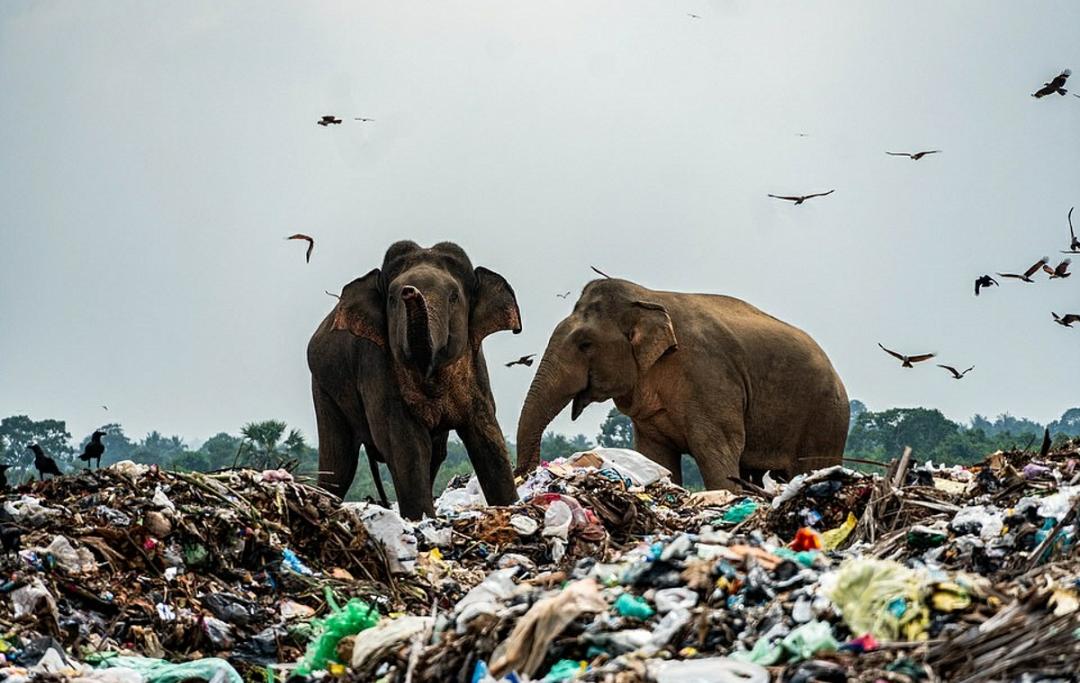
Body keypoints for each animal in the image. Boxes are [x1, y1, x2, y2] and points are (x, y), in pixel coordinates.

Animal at [306, 243, 520, 520]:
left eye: (454, 297)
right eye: (391, 298)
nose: (409, 291)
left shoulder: (476, 368)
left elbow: (486, 435)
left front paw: (511, 507)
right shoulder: (377, 365)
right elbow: (406, 442)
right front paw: (421, 519)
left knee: (436, 454)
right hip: (323, 386)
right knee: (339, 463)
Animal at [516, 276, 851, 490]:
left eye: (585, 344)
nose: (527, 478)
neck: (648, 298)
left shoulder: (709, 378)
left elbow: (716, 451)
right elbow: (656, 457)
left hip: (826, 417)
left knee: (809, 467)